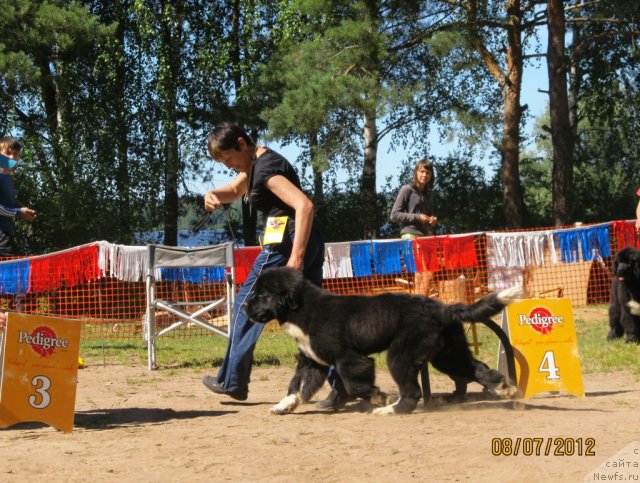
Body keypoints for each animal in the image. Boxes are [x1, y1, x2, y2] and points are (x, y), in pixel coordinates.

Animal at [246, 266, 524, 414]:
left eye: (262, 294)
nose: (245, 307)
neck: (305, 311)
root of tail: (444, 309)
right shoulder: (312, 360)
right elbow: (298, 385)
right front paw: (283, 406)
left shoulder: (349, 358)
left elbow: (354, 384)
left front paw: (379, 397)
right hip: (447, 354)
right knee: (477, 369)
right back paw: (504, 387)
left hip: (401, 355)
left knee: (413, 391)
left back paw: (391, 409)